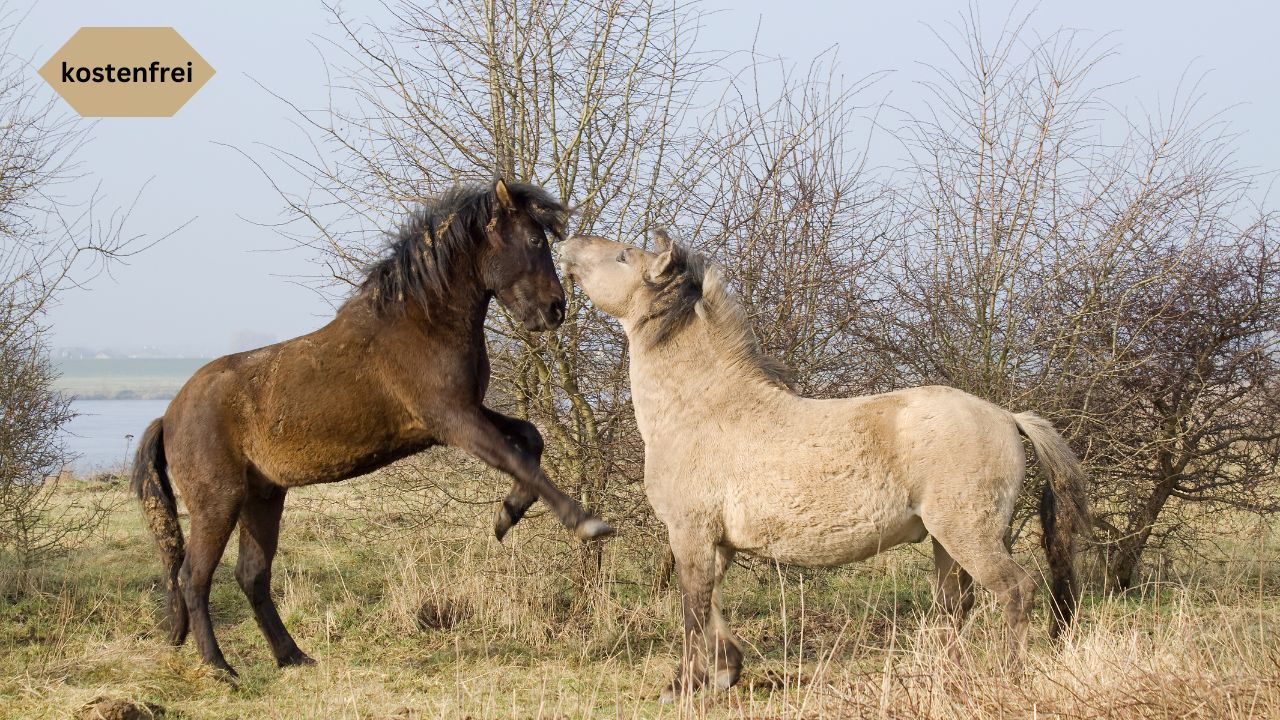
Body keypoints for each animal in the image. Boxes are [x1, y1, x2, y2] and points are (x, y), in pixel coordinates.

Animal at [132, 178, 611, 671]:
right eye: (534, 240)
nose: (555, 309)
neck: (424, 322)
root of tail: (168, 416)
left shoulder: (463, 415)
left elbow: (531, 440)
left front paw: (507, 516)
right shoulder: (454, 421)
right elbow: (522, 462)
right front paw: (586, 523)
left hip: (263, 497)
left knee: (252, 576)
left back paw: (293, 656)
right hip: (219, 502)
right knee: (193, 577)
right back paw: (220, 668)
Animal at [560, 229, 1090, 696]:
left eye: (623, 256)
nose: (566, 242)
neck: (704, 409)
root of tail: (1007, 416)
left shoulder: (690, 533)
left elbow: (692, 609)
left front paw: (686, 686)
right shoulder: (716, 543)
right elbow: (710, 605)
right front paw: (724, 670)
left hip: (968, 534)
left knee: (1016, 592)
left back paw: (1009, 677)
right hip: (947, 543)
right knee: (955, 606)